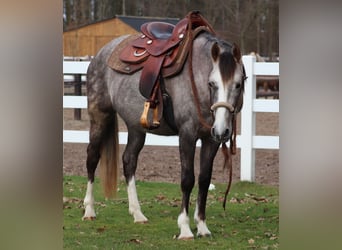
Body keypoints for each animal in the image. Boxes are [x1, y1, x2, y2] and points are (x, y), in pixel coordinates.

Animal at [81, 24, 244, 239]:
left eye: (239, 84)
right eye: (212, 84)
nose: (222, 131)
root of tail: (101, 54)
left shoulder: (211, 140)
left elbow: (204, 180)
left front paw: (202, 226)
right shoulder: (187, 135)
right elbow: (187, 179)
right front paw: (185, 229)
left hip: (136, 127)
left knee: (129, 161)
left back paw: (138, 213)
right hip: (100, 116)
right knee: (92, 158)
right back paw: (89, 210)